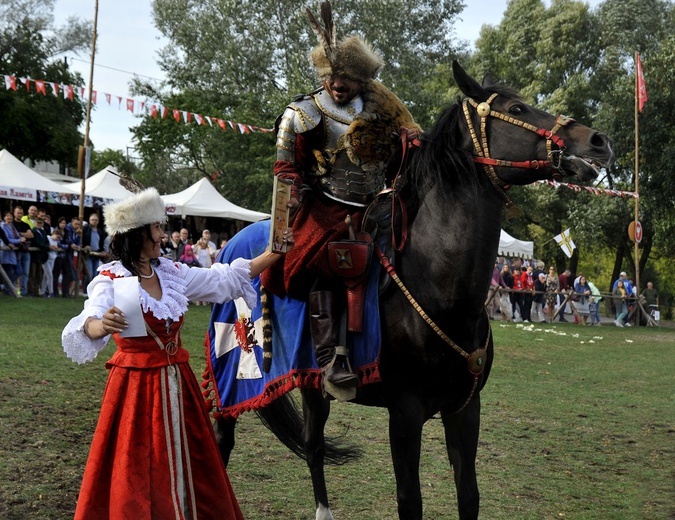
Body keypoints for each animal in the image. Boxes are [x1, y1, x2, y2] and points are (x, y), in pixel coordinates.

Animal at [214, 62, 616, 520]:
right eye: (517, 108)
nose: (599, 142)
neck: (443, 290)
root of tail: (231, 243)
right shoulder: (405, 414)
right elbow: (411, 501)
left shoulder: (464, 409)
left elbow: (468, 495)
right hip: (233, 375)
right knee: (224, 438)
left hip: (311, 383)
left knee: (312, 445)